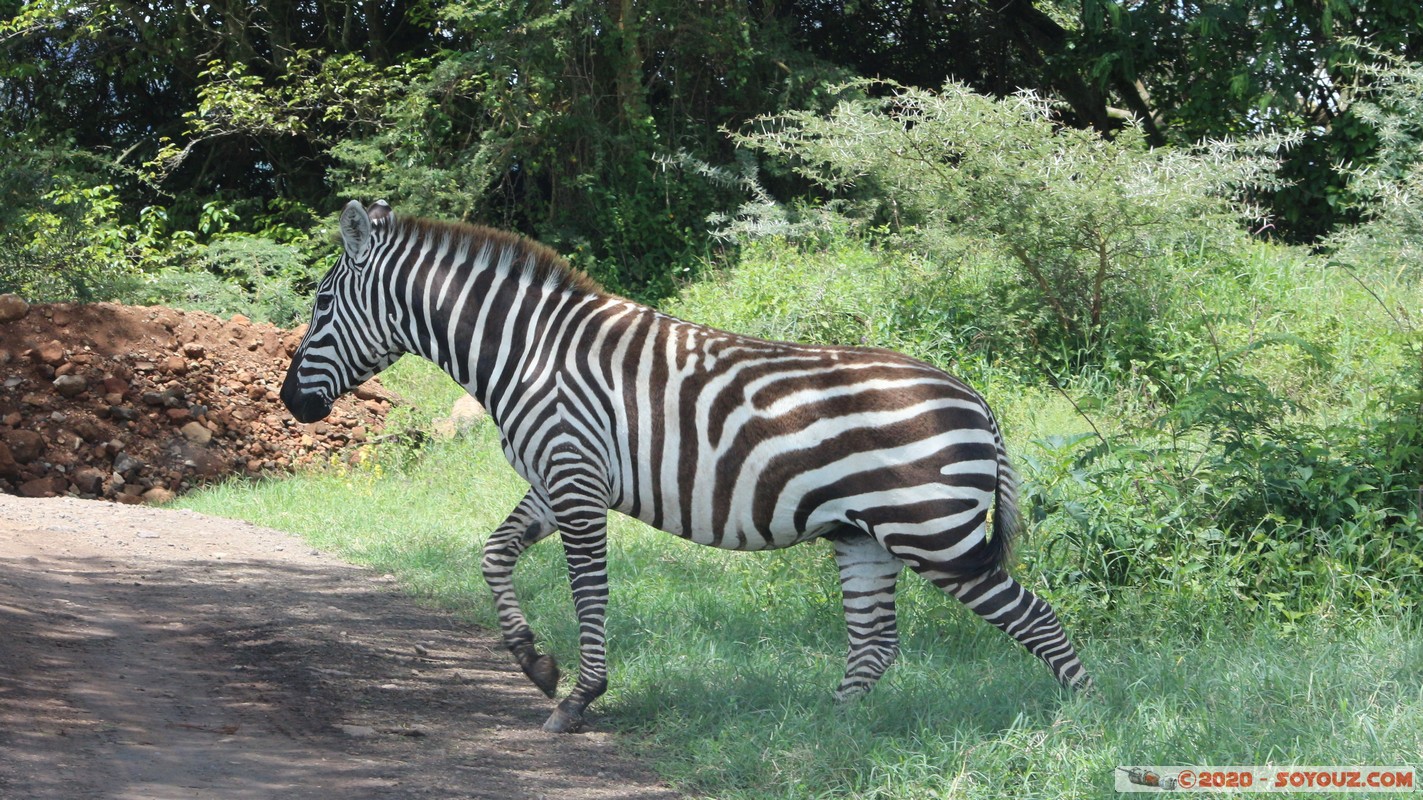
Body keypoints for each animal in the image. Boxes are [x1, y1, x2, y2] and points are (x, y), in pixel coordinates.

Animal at [283, 197, 1092, 728]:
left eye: (320, 305)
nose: (291, 403)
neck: (530, 351)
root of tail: (977, 397)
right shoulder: (554, 479)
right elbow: (493, 553)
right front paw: (533, 663)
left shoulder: (575, 479)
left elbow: (589, 592)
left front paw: (580, 698)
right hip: (863, 534)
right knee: (875, 645)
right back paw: (822, 736)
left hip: (931, 532)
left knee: (1036, 619)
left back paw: (1079, 722)